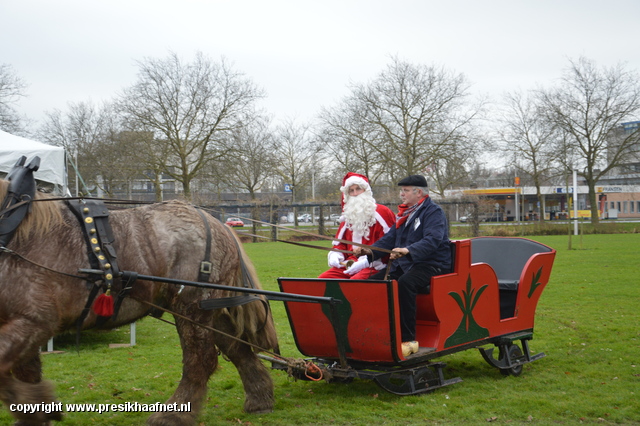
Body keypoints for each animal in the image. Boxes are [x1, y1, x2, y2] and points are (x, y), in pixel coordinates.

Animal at [0, 178, 280, 424]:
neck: (17, 231)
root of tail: (218, 224)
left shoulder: (36, 321)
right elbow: (25, 373)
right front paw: (35, 411)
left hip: (191, 307)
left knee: (201, 360)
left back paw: (174, 414)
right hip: (209, 309)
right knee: (236, 347)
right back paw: (260, 400)